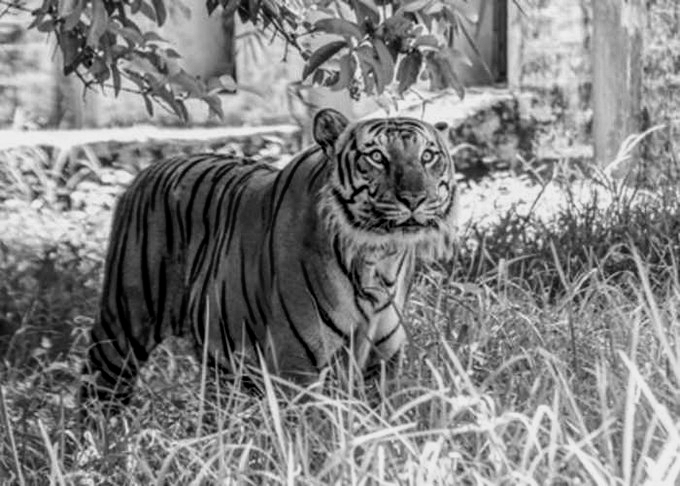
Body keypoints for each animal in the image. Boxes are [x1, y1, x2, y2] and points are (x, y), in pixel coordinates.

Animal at [81, 108, 458, 406]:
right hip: (124, 321)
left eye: (428, 156)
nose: (415, 198)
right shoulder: (298, 363)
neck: (377, 257)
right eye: (377, 157)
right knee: (98, 384)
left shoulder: (382, 364)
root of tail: (149, 168)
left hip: (221, 357)